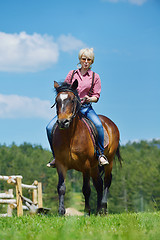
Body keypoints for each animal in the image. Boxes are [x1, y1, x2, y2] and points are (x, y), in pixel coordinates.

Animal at [51, 79, 121, 215]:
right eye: (57, 101)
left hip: (108, 162)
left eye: (72, 100)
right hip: (94, 167)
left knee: (107, 181)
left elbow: (86, 189)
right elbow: (61, 187)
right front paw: (61, 211)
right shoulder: (61, 164)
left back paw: (103, 209)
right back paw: (98, 210)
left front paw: (87, 212)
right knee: (98, 184)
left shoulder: (86, 165)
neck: (70, 136)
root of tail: (110, 123)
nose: (63, 122)